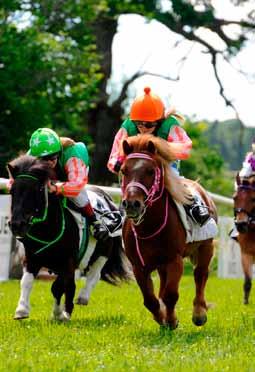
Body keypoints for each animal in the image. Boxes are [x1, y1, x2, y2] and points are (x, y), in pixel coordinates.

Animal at [7, 155, 131, 322]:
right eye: (12, 190)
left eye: (37, 189)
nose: (16, 225)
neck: (47, 229)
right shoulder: (32, 258)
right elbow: (26, 281)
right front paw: (21, 310)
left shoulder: (68, 261)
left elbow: (58, 287)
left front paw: (60, 314)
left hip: (104, 249)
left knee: (95, 272)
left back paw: (82, 298)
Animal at [120, 135, 216, 330]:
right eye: (124, 170)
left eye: (150, 171)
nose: (132, 204)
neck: (150, 228)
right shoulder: (139, 266)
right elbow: (150, 300)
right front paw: (162, 318)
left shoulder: (174, 260)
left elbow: (171, 294)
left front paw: (171, 320)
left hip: (206, 247)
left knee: (200, 274)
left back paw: (199, 313)